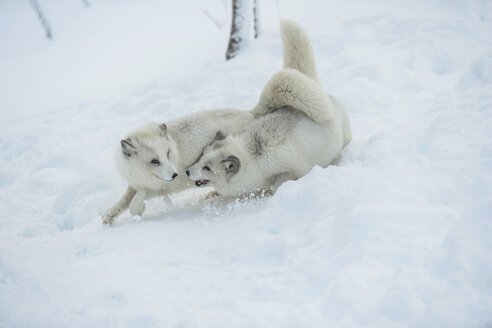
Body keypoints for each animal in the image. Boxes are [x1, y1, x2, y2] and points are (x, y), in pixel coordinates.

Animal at [186, 21, 352, 200]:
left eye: (207, 168)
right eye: (201, 156)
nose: (187, 171)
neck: (254, 157)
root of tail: (317, 87)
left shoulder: (291, 170)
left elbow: (280, 181)